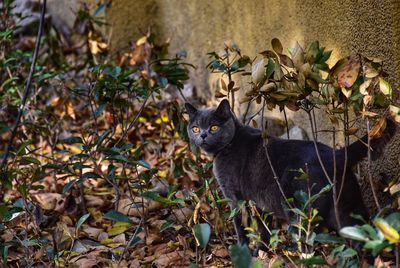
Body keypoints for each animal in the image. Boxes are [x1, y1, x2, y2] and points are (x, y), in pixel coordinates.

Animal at [185, 99, 396, 247]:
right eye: (195, 128)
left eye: (214, 127)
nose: (202, 135)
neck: (229, 145)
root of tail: (336, 155)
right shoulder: (258, 202)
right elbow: (263, 228)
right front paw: (261, 251)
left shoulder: (234, 196)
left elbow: (240, 225)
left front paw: (243, 248)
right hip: (346, 205)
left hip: (299, 209)